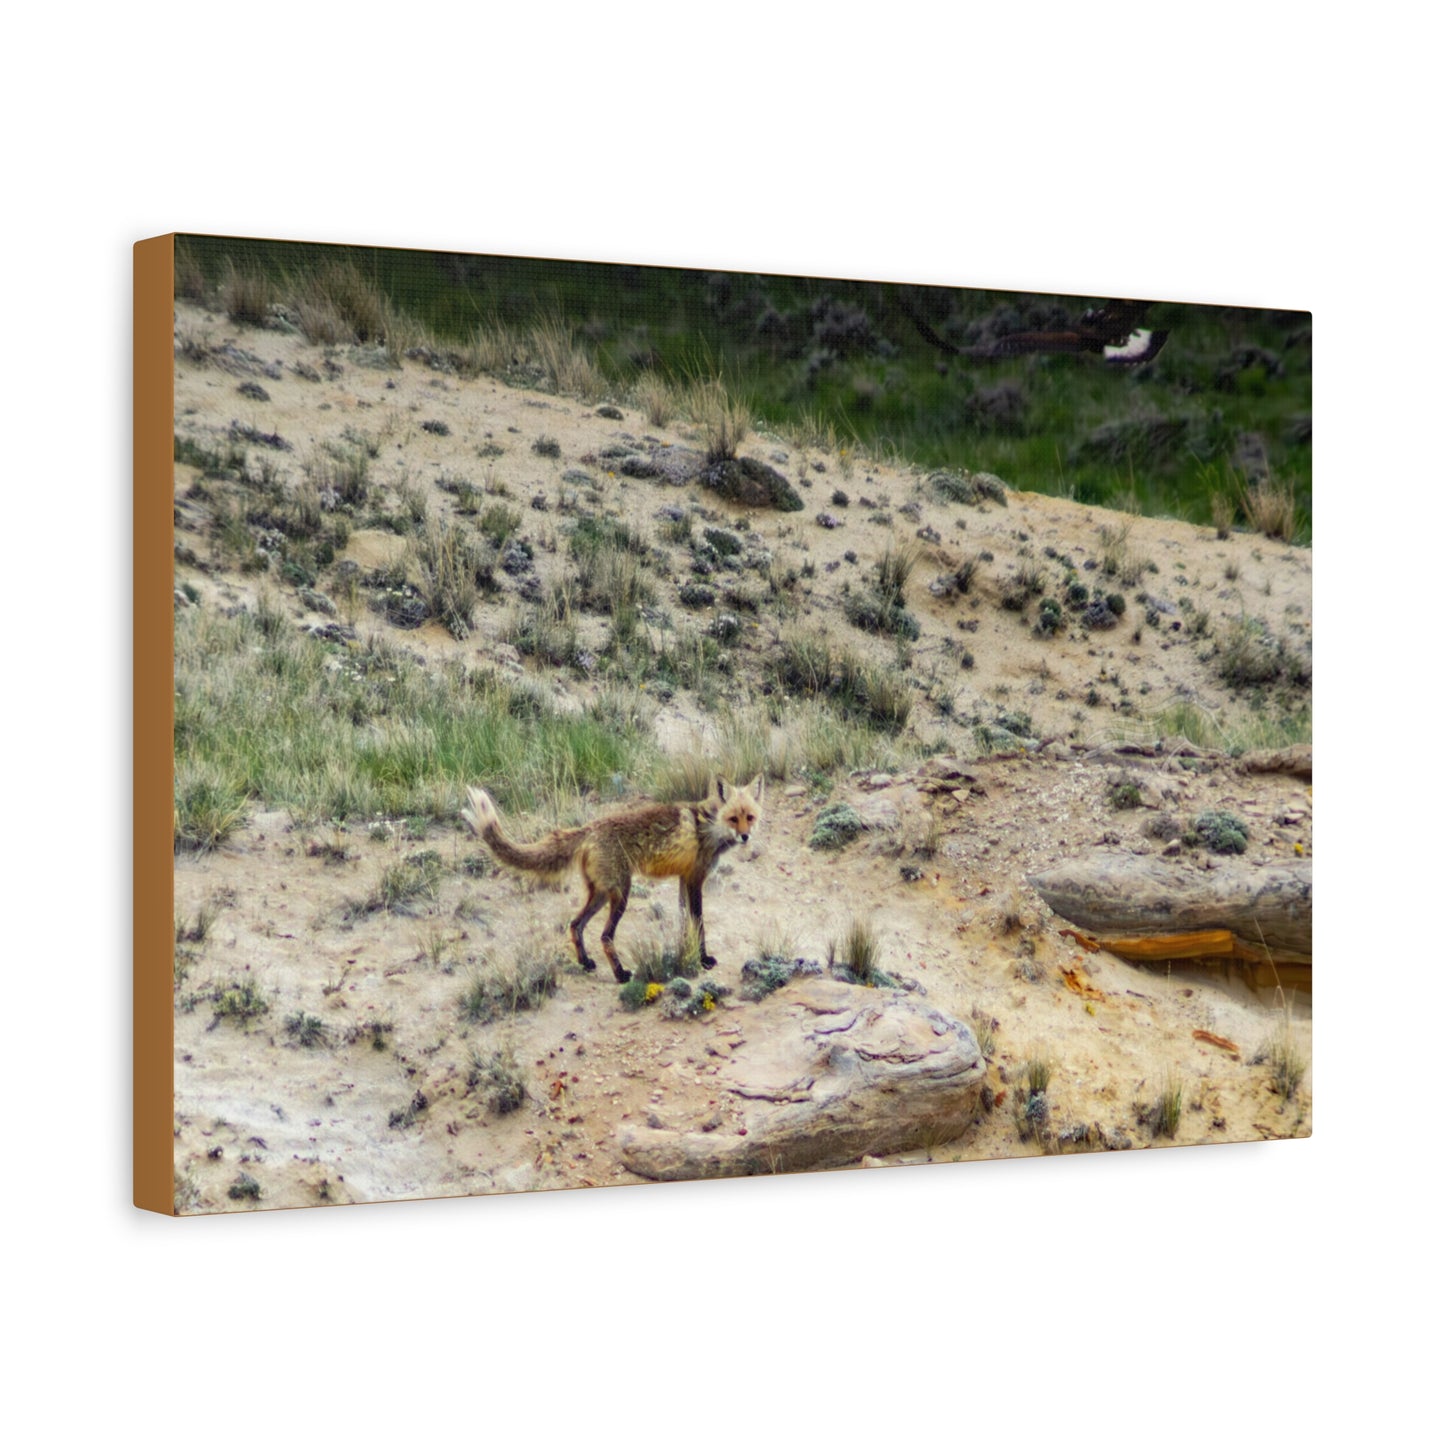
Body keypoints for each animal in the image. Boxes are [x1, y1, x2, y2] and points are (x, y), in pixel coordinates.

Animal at [461, 778, 764, 983]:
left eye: (749, 817)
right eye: (733, 818)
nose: (745, 836)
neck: (709, 825)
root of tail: (589, 828)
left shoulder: (683, 879)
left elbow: (684, 923)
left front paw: (684, 954)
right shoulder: (694, 880)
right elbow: (698, 924)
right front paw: (703, 959)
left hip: (601, 894)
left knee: (575, 925)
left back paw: (586, 963)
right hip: (621, 894)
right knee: (605, 936)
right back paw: (620, 974)